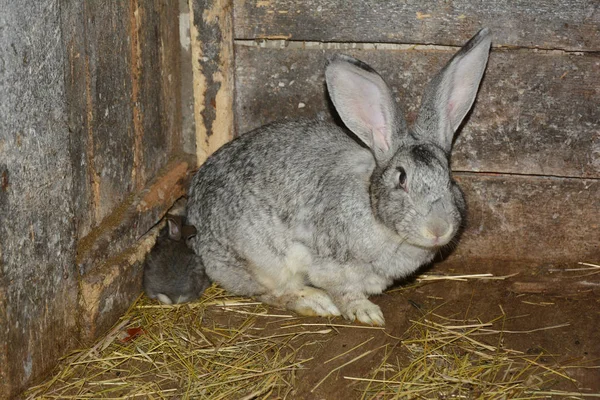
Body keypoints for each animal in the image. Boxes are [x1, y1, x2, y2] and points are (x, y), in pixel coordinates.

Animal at [188, 30, 492, 324]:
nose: (438, 229)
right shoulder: (329, 265)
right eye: (402, 179)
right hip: (260, 260)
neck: (372, 206)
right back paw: (315, 303)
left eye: (449, 177)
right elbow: (344, 291)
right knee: (271, 291)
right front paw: (366, 313)